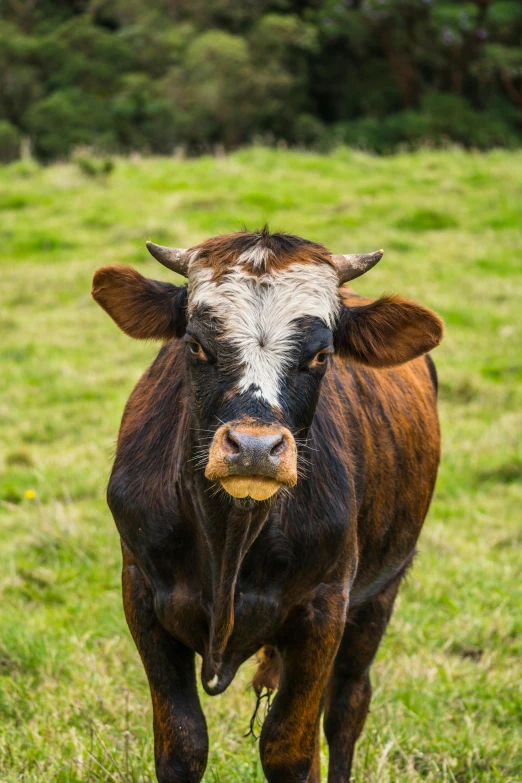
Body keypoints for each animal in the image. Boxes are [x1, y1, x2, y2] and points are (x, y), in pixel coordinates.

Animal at [91, 228, 440, 783]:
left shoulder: (325, 608)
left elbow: (288, 749)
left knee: (346, 708)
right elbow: (183, 743)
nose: (254, 448)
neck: (230, 534)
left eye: (321, 355)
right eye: (195, 344)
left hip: (380, 593)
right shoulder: (141, 592)